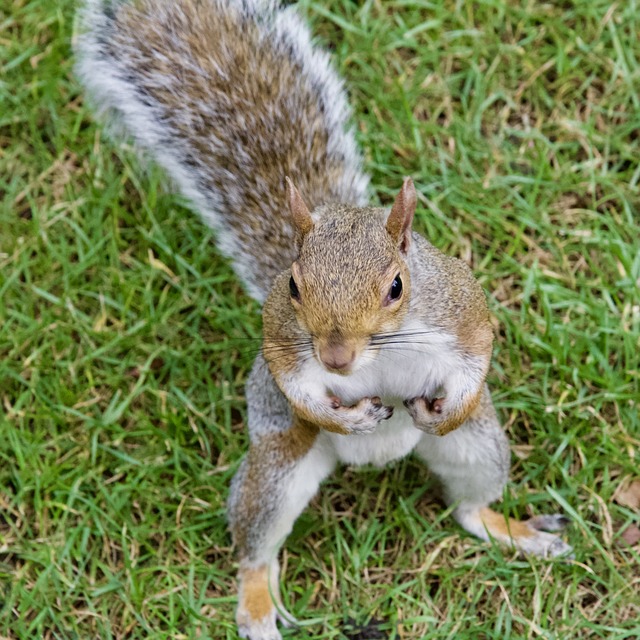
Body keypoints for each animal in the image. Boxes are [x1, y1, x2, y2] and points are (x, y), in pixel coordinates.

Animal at [76, 1, 576, 640]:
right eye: (292, 285)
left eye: (397, 286)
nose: (336, 358)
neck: (380, 351)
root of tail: (377, 460)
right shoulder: (283, 339)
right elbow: (294, 382)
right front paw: (343, 414)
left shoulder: (461, 310)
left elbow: (477, 357)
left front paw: (445, 408)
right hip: (277, 471)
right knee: (255, 546)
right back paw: (258, 606)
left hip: (481, 449)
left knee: (467, 507)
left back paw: (510, 530)